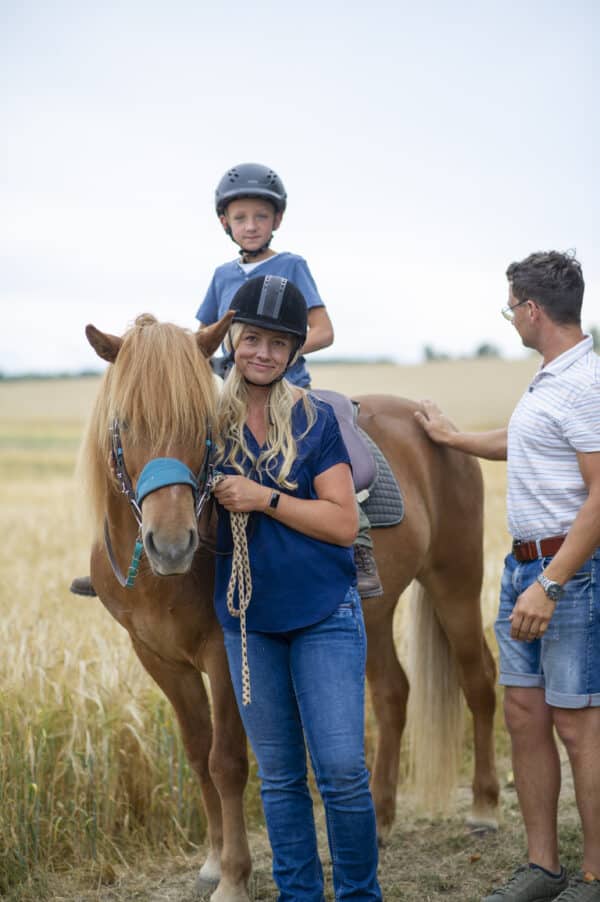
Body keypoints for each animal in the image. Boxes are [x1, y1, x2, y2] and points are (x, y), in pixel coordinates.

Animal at [77, 316, 500, 902]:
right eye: (125, 424)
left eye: (202, 426)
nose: (172, 544)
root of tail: (433, 424)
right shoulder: (156, 657)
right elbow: (197, 751)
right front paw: (213, 860)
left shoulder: (225, 652)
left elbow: (227, 760)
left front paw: (234, 875)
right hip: (374, 612)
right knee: (393, 694)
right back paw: (381, 817)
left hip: (454, 583)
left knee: (477, 679)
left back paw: (483, 807)